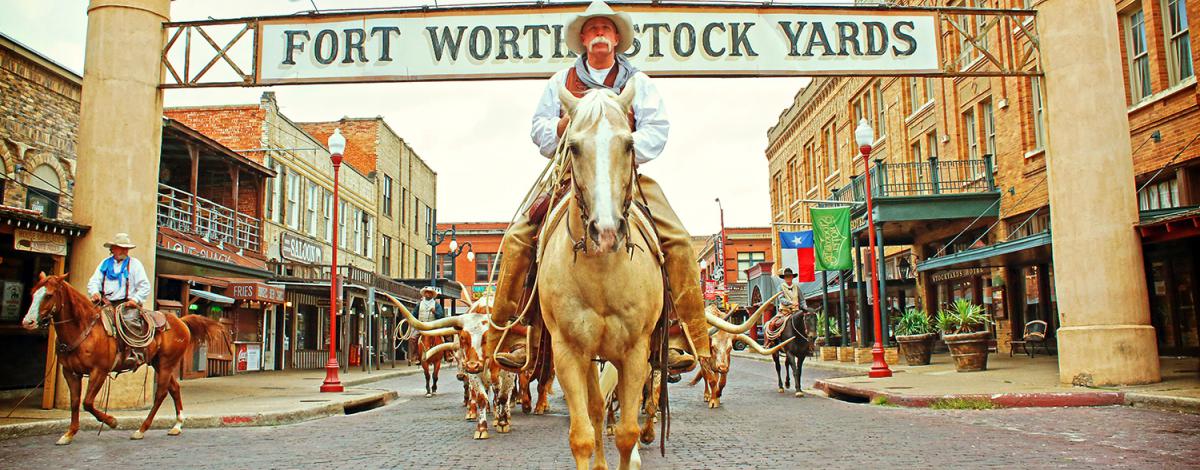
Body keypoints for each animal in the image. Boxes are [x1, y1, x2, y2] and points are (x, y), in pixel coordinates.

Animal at [20, 272, 225, 443]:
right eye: (33, 292)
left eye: (48, 295)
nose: (28, 322)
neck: (84, 328)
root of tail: (180, 321)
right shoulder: (70, 372)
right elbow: (75, 401)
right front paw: (69, 433)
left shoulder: (99, 371)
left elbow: (87, 402)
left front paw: (111, 421)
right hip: (159, 363)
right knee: (174, 388)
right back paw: (177, 425)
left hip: (167, 363)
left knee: (161, 393)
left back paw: (141, 429)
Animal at [540, 79, 662, 467]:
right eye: (573, 147)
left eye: (629, 144)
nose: (606, 231)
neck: (602, 275)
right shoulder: (568, 351)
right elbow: (582, 435)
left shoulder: (636, 352)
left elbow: (626, 433)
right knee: (595, 409)